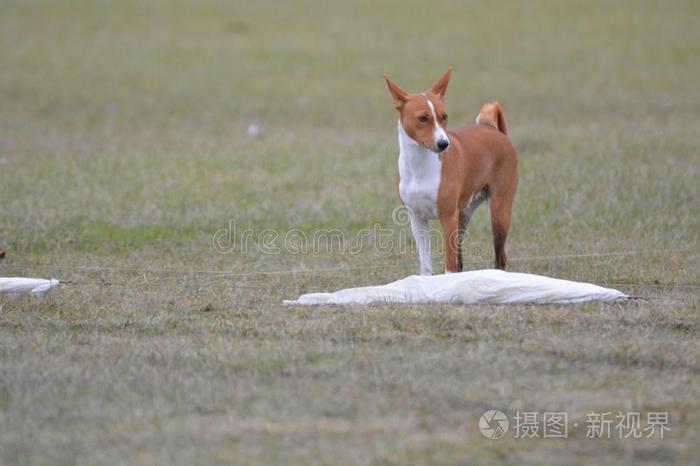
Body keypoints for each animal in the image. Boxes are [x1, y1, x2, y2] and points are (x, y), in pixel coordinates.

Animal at [382, 67, 520, 274]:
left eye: (444, 116)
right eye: (423, 118)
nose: (444, 144)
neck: (420, 167)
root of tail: (493, 130)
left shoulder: (448, 217)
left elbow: (449, 265)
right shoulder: (418, 219)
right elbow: (427, 266)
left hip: (498, 212)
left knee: (500, 258)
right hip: (463, 216)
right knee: (461, 261)